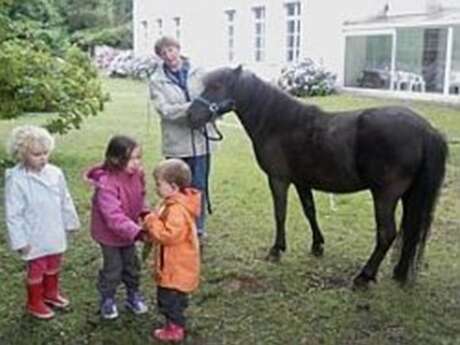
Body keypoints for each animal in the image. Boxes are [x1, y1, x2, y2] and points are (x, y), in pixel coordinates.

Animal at [186, 66, 446, 286]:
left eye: (217, 86)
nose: (190, 115)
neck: (279, 123)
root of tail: (426, 129)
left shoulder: (279, 179)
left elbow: (280, 213)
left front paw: (276, 250)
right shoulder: (302, 182)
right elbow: (309, 211)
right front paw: (317, 246)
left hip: (385, 195)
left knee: (387, 233)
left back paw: (364, 276)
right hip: (409, 195)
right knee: (409, 231)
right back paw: (398, 273)